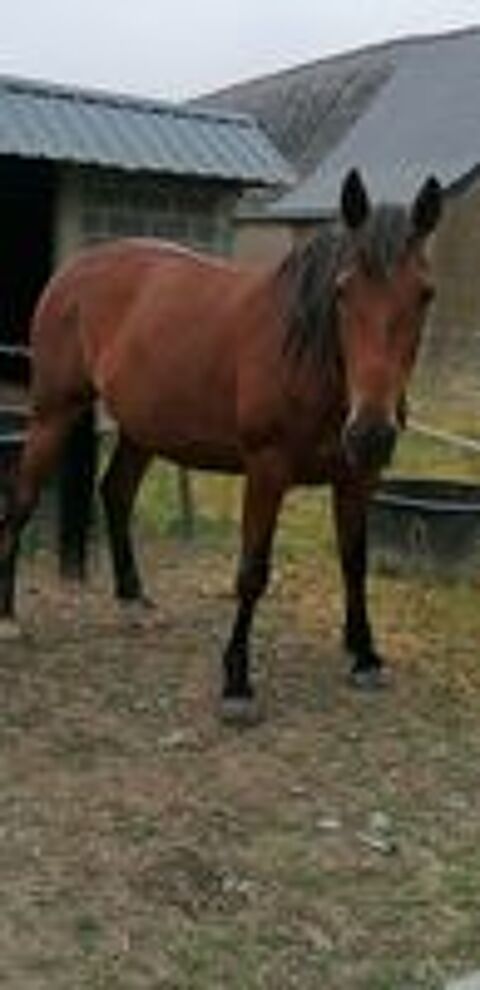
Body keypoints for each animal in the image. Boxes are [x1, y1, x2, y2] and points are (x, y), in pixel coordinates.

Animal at [0, 169, 442, 720]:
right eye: (343, 290)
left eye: (425, 294)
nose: (372, 433)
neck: (308, 356)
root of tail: (75, 269)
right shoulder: (267, 469)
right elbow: (252, 572)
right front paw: (236, 684)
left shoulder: (359, 477)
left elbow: (354, 562)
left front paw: (364, 656)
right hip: (53, 413)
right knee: (21, 501)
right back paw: (9, 618)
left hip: (143, 429)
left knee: (116, 494)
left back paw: (133, 602)